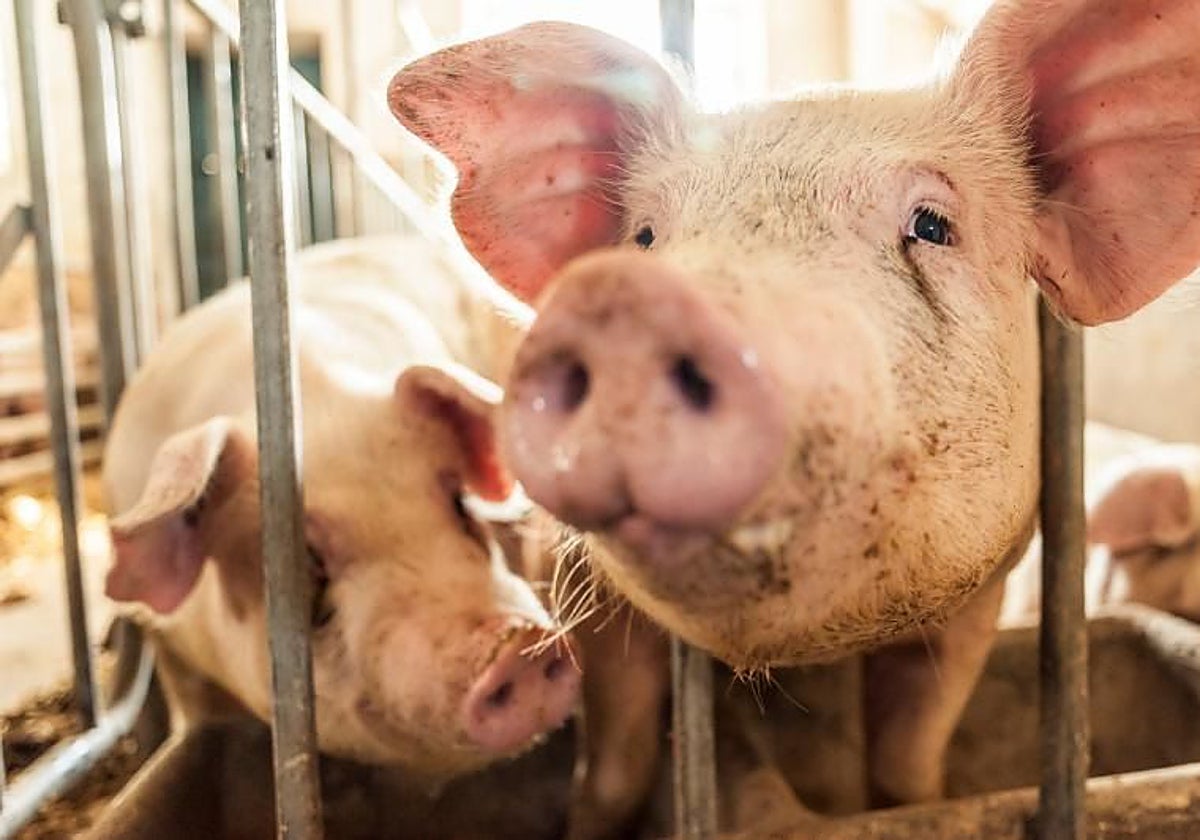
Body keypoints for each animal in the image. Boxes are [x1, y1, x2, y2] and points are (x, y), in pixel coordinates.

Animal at [387, 0, 1200, 810]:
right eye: (645, 236)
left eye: (932, 224)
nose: (621, 301)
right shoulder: (579, 581)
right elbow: (614, 759)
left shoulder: (984, 594)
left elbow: (911, 755)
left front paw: (910, 802)